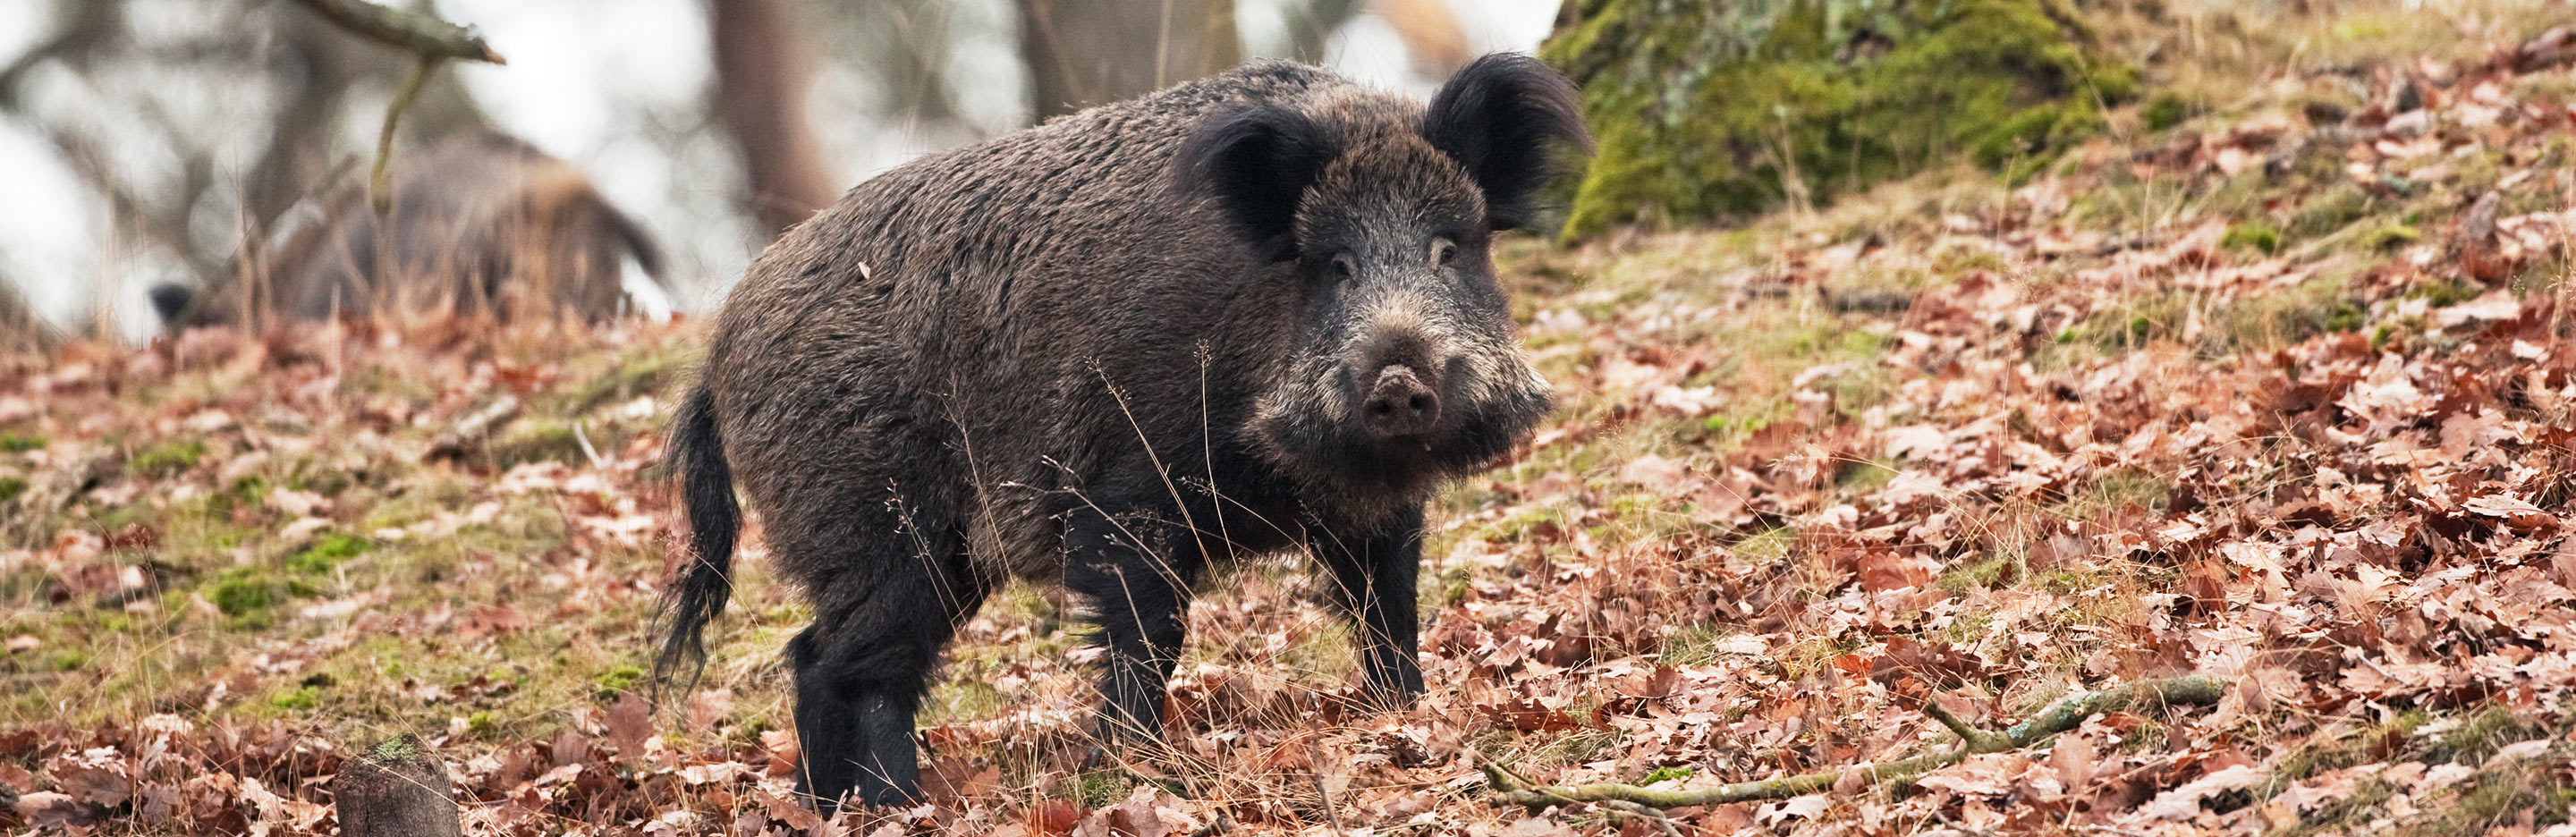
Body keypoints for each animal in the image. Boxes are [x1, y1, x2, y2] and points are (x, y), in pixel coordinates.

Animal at [657, 54, 1586, 810]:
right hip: (876, 524)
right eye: (1335, 263)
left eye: (1449, 249)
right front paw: (1129, 765)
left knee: (815, 655)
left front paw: (1404, 715)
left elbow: (1389, 611)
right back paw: (896, 806)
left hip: (926, 554)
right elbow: (1152, 634)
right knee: (859, 668)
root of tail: (718, 354)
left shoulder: (1375, 511)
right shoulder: (1126, 496)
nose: (1398, 381)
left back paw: (832, 806)